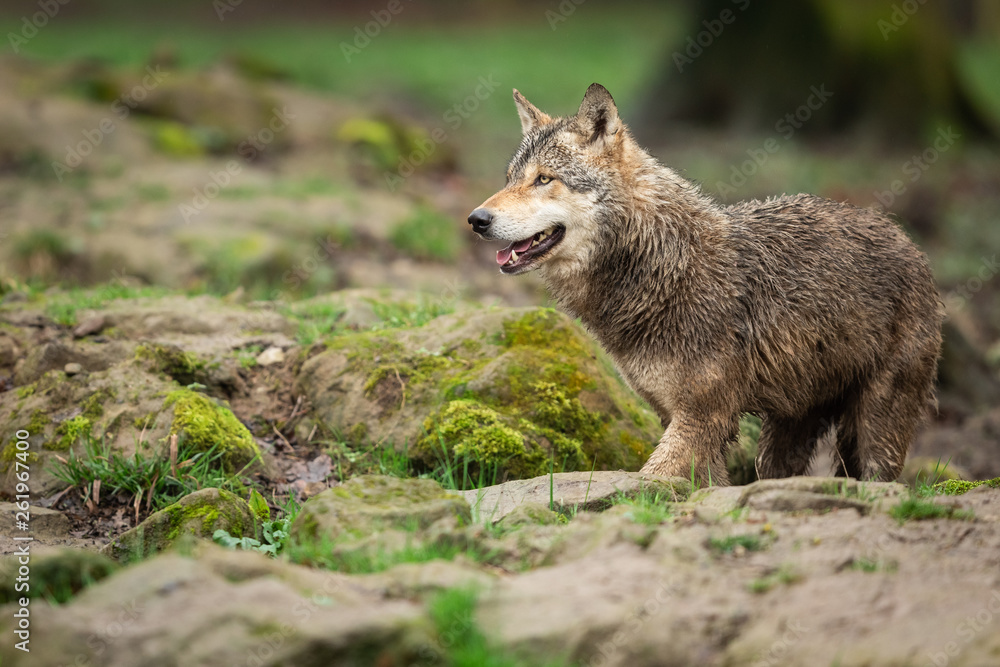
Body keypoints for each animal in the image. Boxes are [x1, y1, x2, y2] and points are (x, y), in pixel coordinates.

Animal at [468, 83, 943, 486]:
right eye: (510, 178)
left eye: (544, 179)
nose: (477, 219)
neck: (663, 267)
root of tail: (904, 237)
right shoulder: (678, 417)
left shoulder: (702, 418)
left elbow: (651, 481)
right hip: (785, 433)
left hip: (874, 425)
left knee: (880, 478)